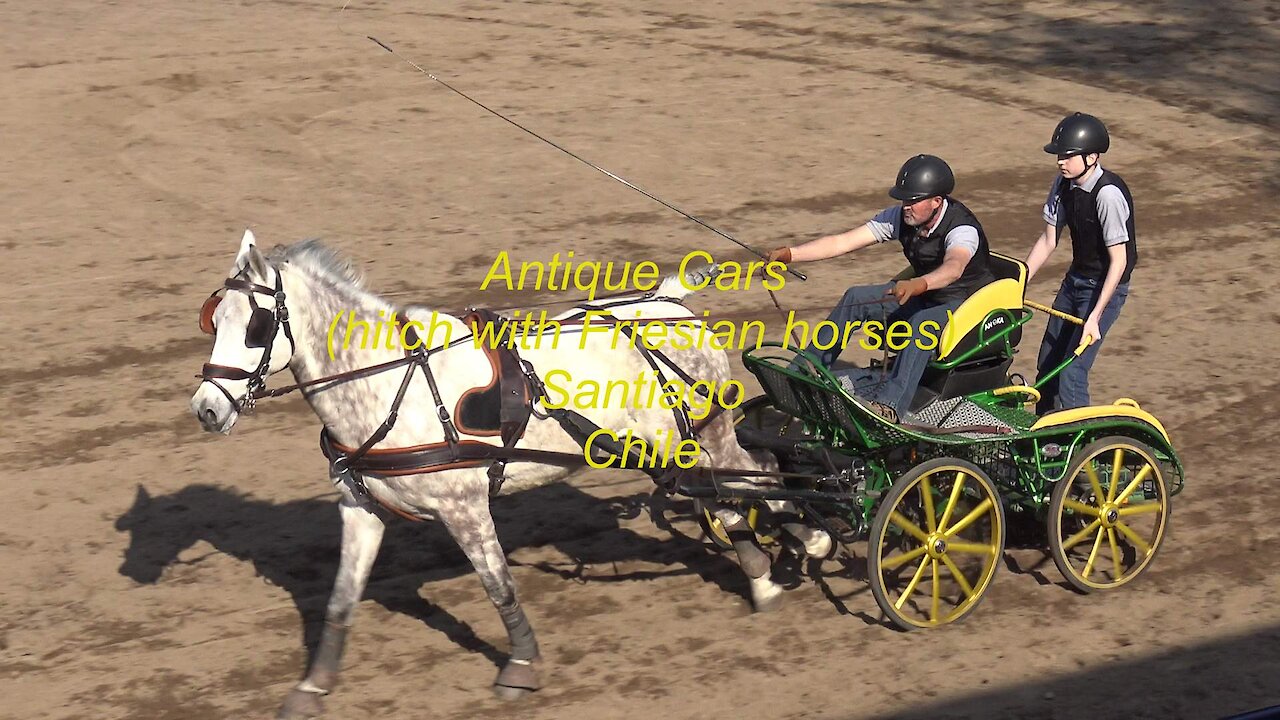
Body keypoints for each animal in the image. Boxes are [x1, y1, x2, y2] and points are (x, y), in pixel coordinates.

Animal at [186, 230, 829, 717]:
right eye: (214, 320)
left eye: (256, 325)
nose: (207, 409)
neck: (387, 383)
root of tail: (667, 302)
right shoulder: (361, 508)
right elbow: (341, 600)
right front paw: (311, 687)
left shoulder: (465, 507)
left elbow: (499, 586)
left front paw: (521, 665)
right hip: (671, 449)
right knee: (729, 494)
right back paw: (765, 577)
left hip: (703, 433)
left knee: (754, 478)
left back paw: (812, 538)